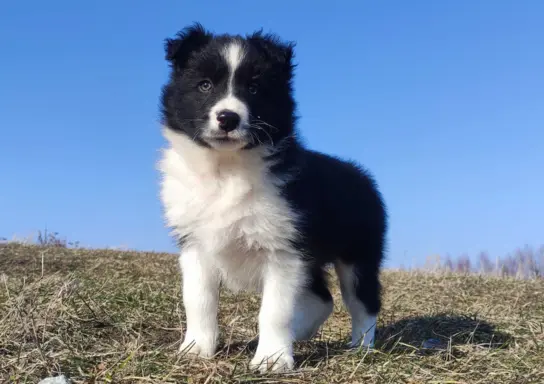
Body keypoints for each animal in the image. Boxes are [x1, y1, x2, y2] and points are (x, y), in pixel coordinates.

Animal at [156, 24, 386, 372]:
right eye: (204, 85)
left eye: (254, 88)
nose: (228, 118)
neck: (226, 169)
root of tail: (361, 176)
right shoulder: (195, 244)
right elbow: (198, 299)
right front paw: (196, 349)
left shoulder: (283, 250)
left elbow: (275, 310)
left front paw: (272, 359)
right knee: (322, 298)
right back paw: (301, 333)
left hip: (359, 254)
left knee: (363, 302)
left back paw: (361, 347)